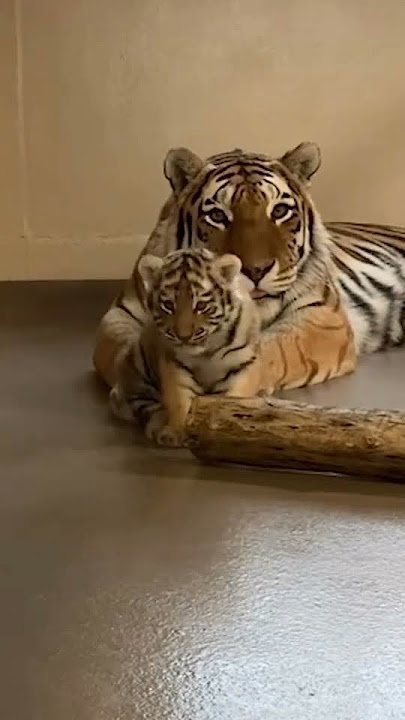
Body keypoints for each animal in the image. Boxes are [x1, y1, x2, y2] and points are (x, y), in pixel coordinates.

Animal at [92, 140, 404, 400]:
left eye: (279, 211)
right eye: (217, 215)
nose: (256, 270)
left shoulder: (323, 316)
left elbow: (276, 347)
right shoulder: (119, 315)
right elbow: (123, 348)